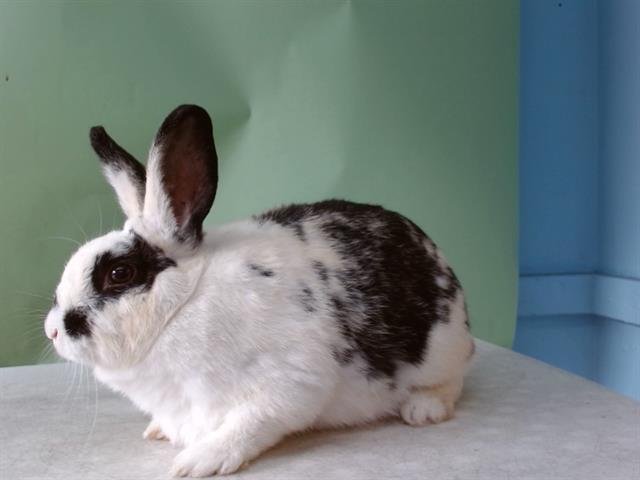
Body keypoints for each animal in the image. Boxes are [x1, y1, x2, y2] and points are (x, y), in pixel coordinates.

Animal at [44, 105, 474, 477]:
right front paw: (160, 431)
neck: (182, 307)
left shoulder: (290, 382)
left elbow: (250, 424)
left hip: (441, 351)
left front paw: (198, 461)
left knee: (453, 380)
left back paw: (423, 409)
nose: (52, 331)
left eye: (119, 272)